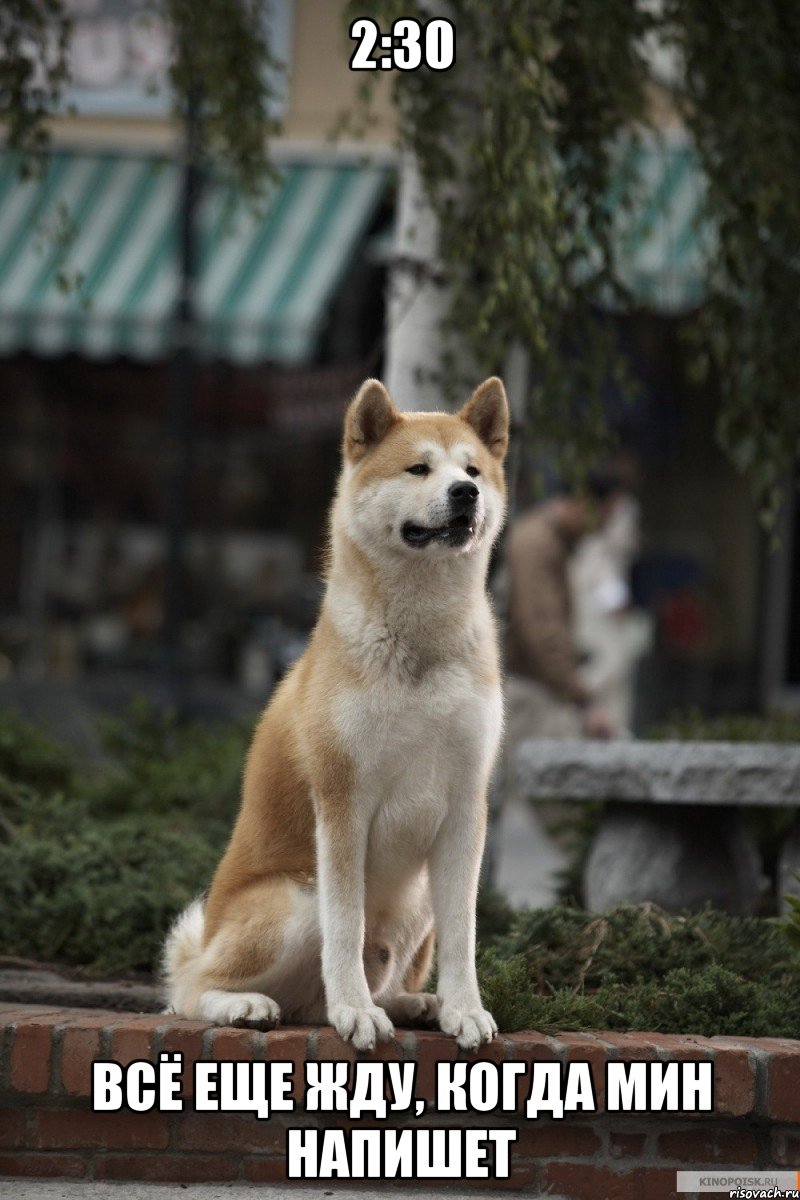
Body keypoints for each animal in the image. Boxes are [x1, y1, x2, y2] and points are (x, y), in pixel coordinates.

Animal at [163, 374, 510, 1051]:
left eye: (473, 470)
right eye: (418, 468)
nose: (466, 493)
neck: (420, 643)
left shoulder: (466, 806)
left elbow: (465, 935)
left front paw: (464, 1009)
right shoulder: (343, 800)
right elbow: (345, 928)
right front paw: (355, 1011)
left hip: (416, 900)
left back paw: (414, 1003)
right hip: (296, 900)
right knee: (189, 990)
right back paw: (251, 1005)